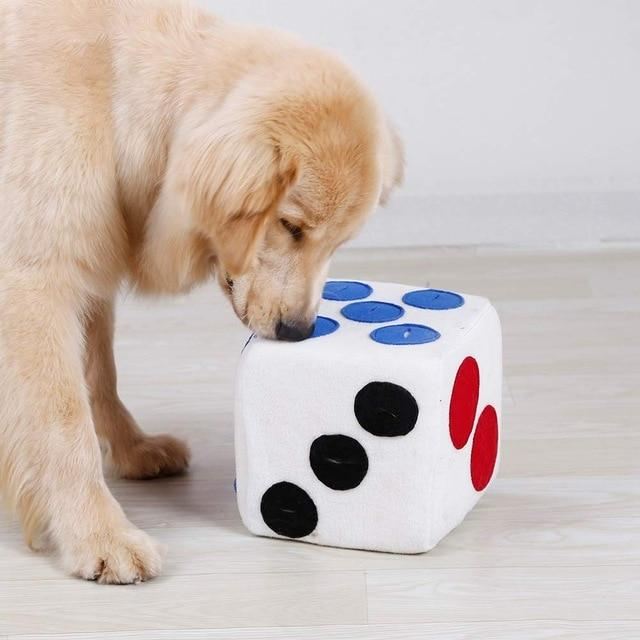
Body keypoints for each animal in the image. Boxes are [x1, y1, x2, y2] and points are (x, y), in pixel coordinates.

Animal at [0, 0, 400, 584]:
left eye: (337, 243)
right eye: (291, 226)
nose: (298, 331)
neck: (113, 91)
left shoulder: (91, 266)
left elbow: (99, 375)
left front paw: (132, 448)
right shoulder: (34, 281)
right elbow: (63, 420)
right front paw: (99, 533)